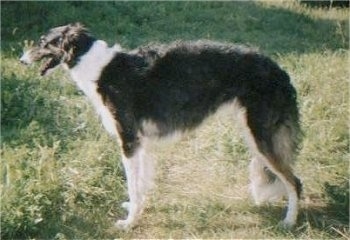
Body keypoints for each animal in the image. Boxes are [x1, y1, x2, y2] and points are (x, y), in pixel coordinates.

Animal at [20, 23, 302, 231]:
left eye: (44, 43)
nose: (21, 59)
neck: (97, 66)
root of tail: (279, 70)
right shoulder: (140, 143)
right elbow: (140, 186)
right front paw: (136, 210)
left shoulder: (129, 140)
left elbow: (133, 185)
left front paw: (129, 223)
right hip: (253, 135)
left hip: (260, 137)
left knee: (295, 181)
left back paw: (289, 221)